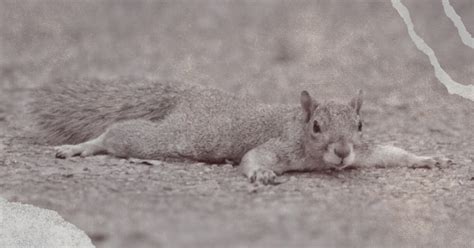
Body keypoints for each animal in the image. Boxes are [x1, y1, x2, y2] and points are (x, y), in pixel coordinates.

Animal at [30, 77, 448, 184]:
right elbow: (254, 156)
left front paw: (427, 158)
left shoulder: (367, 149)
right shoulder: (281, 145)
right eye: (316, 126)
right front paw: (261, 174)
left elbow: (390, 154)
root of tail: (190, 94)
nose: (343, 152)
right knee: (117, 134)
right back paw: (82, 148)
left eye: (360, 125)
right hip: (178, 139)